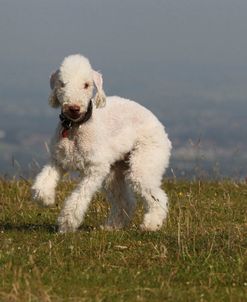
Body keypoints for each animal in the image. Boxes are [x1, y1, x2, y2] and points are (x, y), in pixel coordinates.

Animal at [31, 54, 172, 234]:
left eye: (86, 85)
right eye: (62, 84)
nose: (74, 108)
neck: (76, 127)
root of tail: (160, 125)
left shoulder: (95, 169)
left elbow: (78, 198)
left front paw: (67, 223)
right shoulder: (58, 160)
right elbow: (42, 184)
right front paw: (46, 199)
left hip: (144, 161)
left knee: (157, 196)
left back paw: (151, 225)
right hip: (114, 171)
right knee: (125, 201)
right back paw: (112, 226)